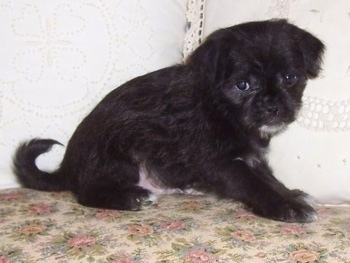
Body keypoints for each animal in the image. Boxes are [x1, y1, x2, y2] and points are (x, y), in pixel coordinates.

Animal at [13, 19, 326, 224]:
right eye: (243, 85)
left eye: (290, 78)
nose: (272, 106)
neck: (221, 108)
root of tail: (68, 166)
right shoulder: (219, 163)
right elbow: (252, 183)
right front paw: (284, 207)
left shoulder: (247, 156)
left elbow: (267, 177)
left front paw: (290, 194)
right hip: (119, 148)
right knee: (86, 193)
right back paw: (131, 198)